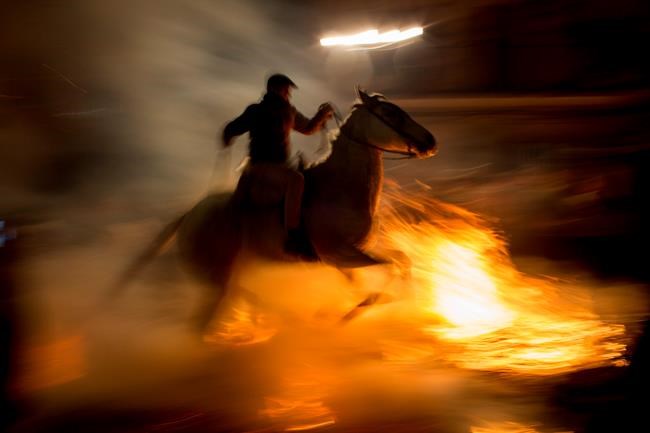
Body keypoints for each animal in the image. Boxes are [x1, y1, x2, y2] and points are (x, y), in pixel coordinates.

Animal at [110, 88, 437, 332]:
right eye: (391, 113)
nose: (430, 141)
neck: (339, 188)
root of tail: (189, 216)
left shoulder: (352, 255)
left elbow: (400, 261)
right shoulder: (340, 254)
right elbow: (389, 269)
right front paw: (357, 310)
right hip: (215, 282)